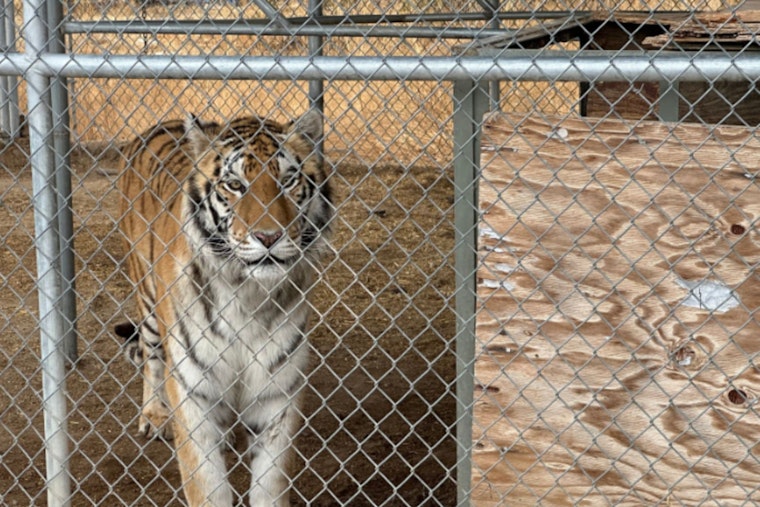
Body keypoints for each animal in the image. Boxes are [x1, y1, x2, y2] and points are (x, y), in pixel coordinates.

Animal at [115, 109, 332, 506]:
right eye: (234, 185)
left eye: (288, 181)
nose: (268, 237)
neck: (246, 294)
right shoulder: (192, 391)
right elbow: (205, 484)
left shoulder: (277, 394)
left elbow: (269, 486)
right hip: (147, 298)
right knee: (152, 358)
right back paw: (154, 416)